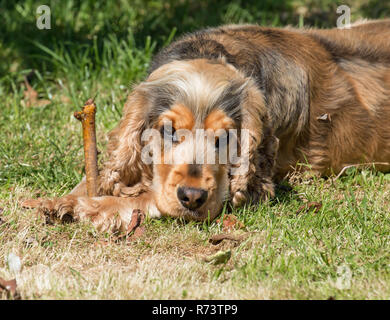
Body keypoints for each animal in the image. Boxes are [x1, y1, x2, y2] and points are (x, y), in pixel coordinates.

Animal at [37, 20, 390, 231]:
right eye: (168, 131)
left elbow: (146, 199)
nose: (192, 197)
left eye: (225, 137)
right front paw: (61, 199)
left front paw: (84, 206)